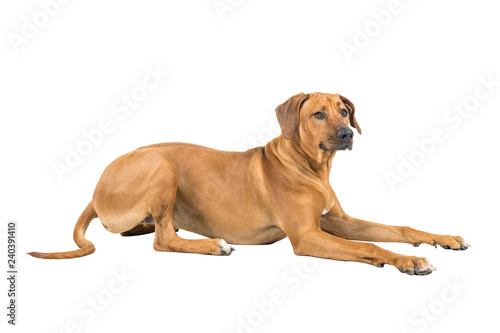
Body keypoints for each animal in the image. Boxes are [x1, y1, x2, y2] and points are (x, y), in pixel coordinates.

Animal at [29, 92, 470, 274]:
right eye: (318, 114)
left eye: (344, 110)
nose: (347, 134)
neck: (311, 167)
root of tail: (95, 188)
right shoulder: (308, 236)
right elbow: (371, 246)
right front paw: (406, 261)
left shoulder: (337, 221)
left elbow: (399, 228)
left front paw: (441, 239)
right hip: (161, 165)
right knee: (163, 239)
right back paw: (212, 244)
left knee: (153, 230)